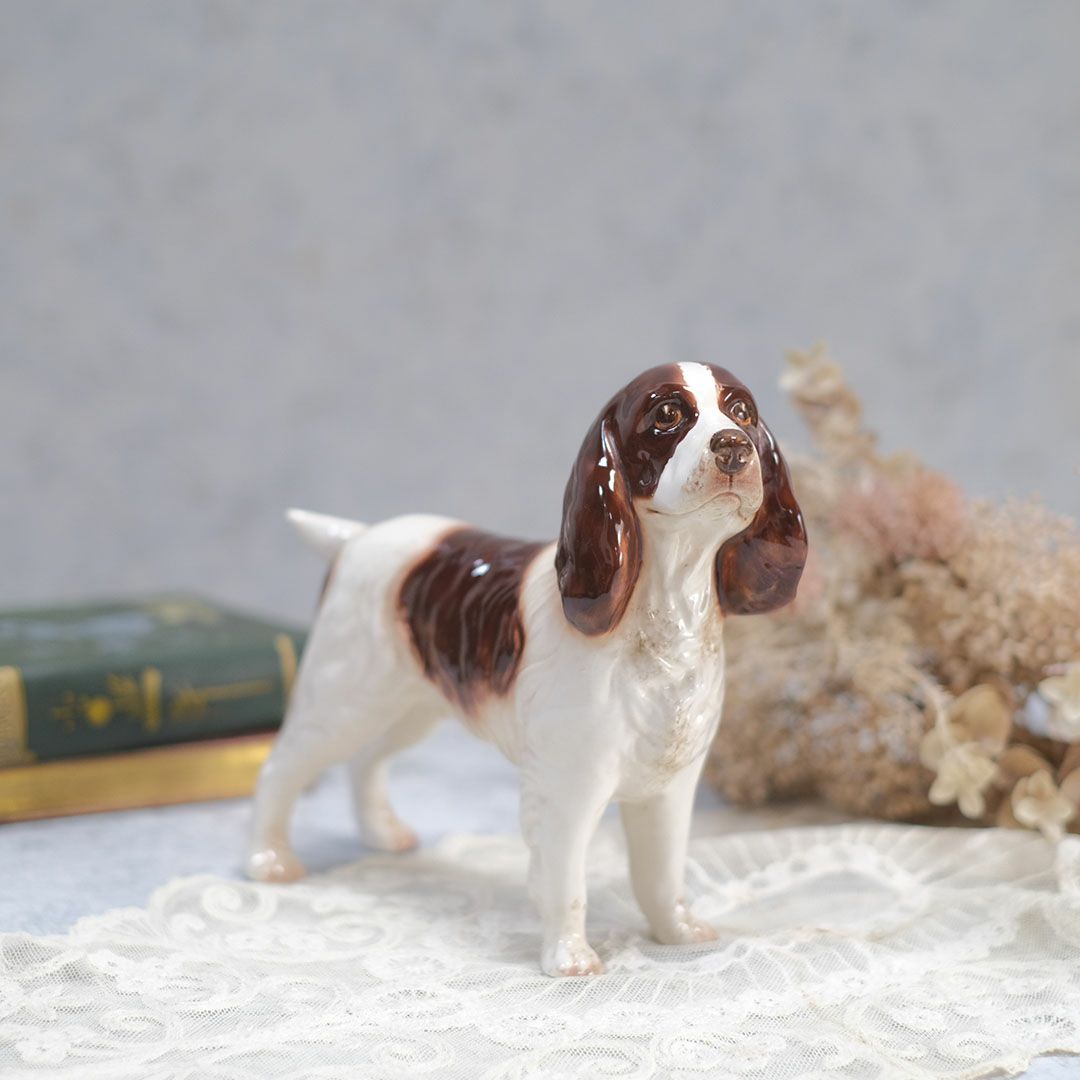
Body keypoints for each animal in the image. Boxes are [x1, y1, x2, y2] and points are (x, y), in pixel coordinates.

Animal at [245, 362, 803, 980]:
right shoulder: (568, 786)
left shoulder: (669, 784)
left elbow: (661, 874)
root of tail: (357, 537)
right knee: (282, 765)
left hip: (410, 703)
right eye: (668, 415)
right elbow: (565, 882)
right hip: (344, 693)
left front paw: (679, 933)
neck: (660, 606)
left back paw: (383, 834)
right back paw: (269, 860)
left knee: (366, 760)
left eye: (743, 413)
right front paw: (570, 958)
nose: (733, 447)